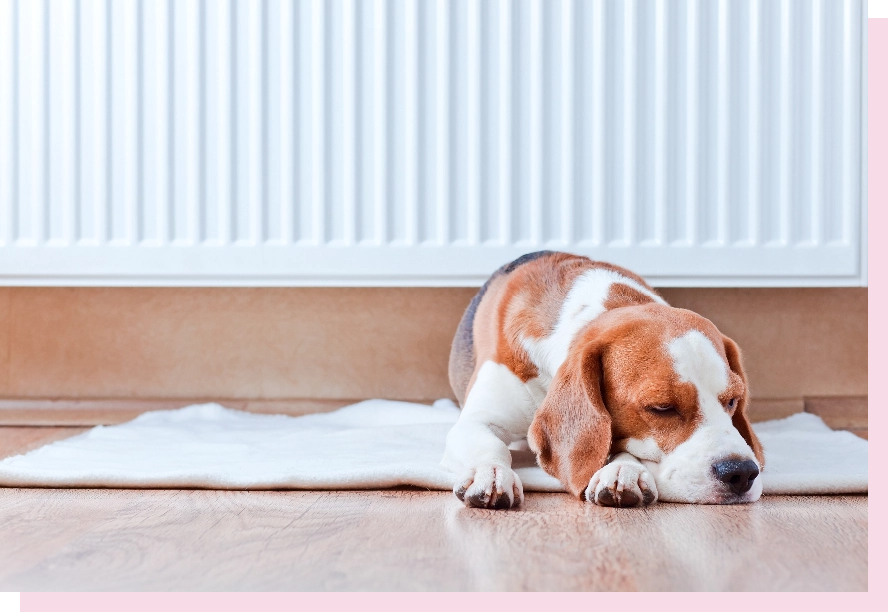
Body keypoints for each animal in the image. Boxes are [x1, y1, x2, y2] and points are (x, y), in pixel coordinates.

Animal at [444, 251, 764, 510]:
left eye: (732, 400)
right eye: (662, 408)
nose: (742, 473)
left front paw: (623, 470)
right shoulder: (477, 419)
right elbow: (490, 446)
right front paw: (491, 473)